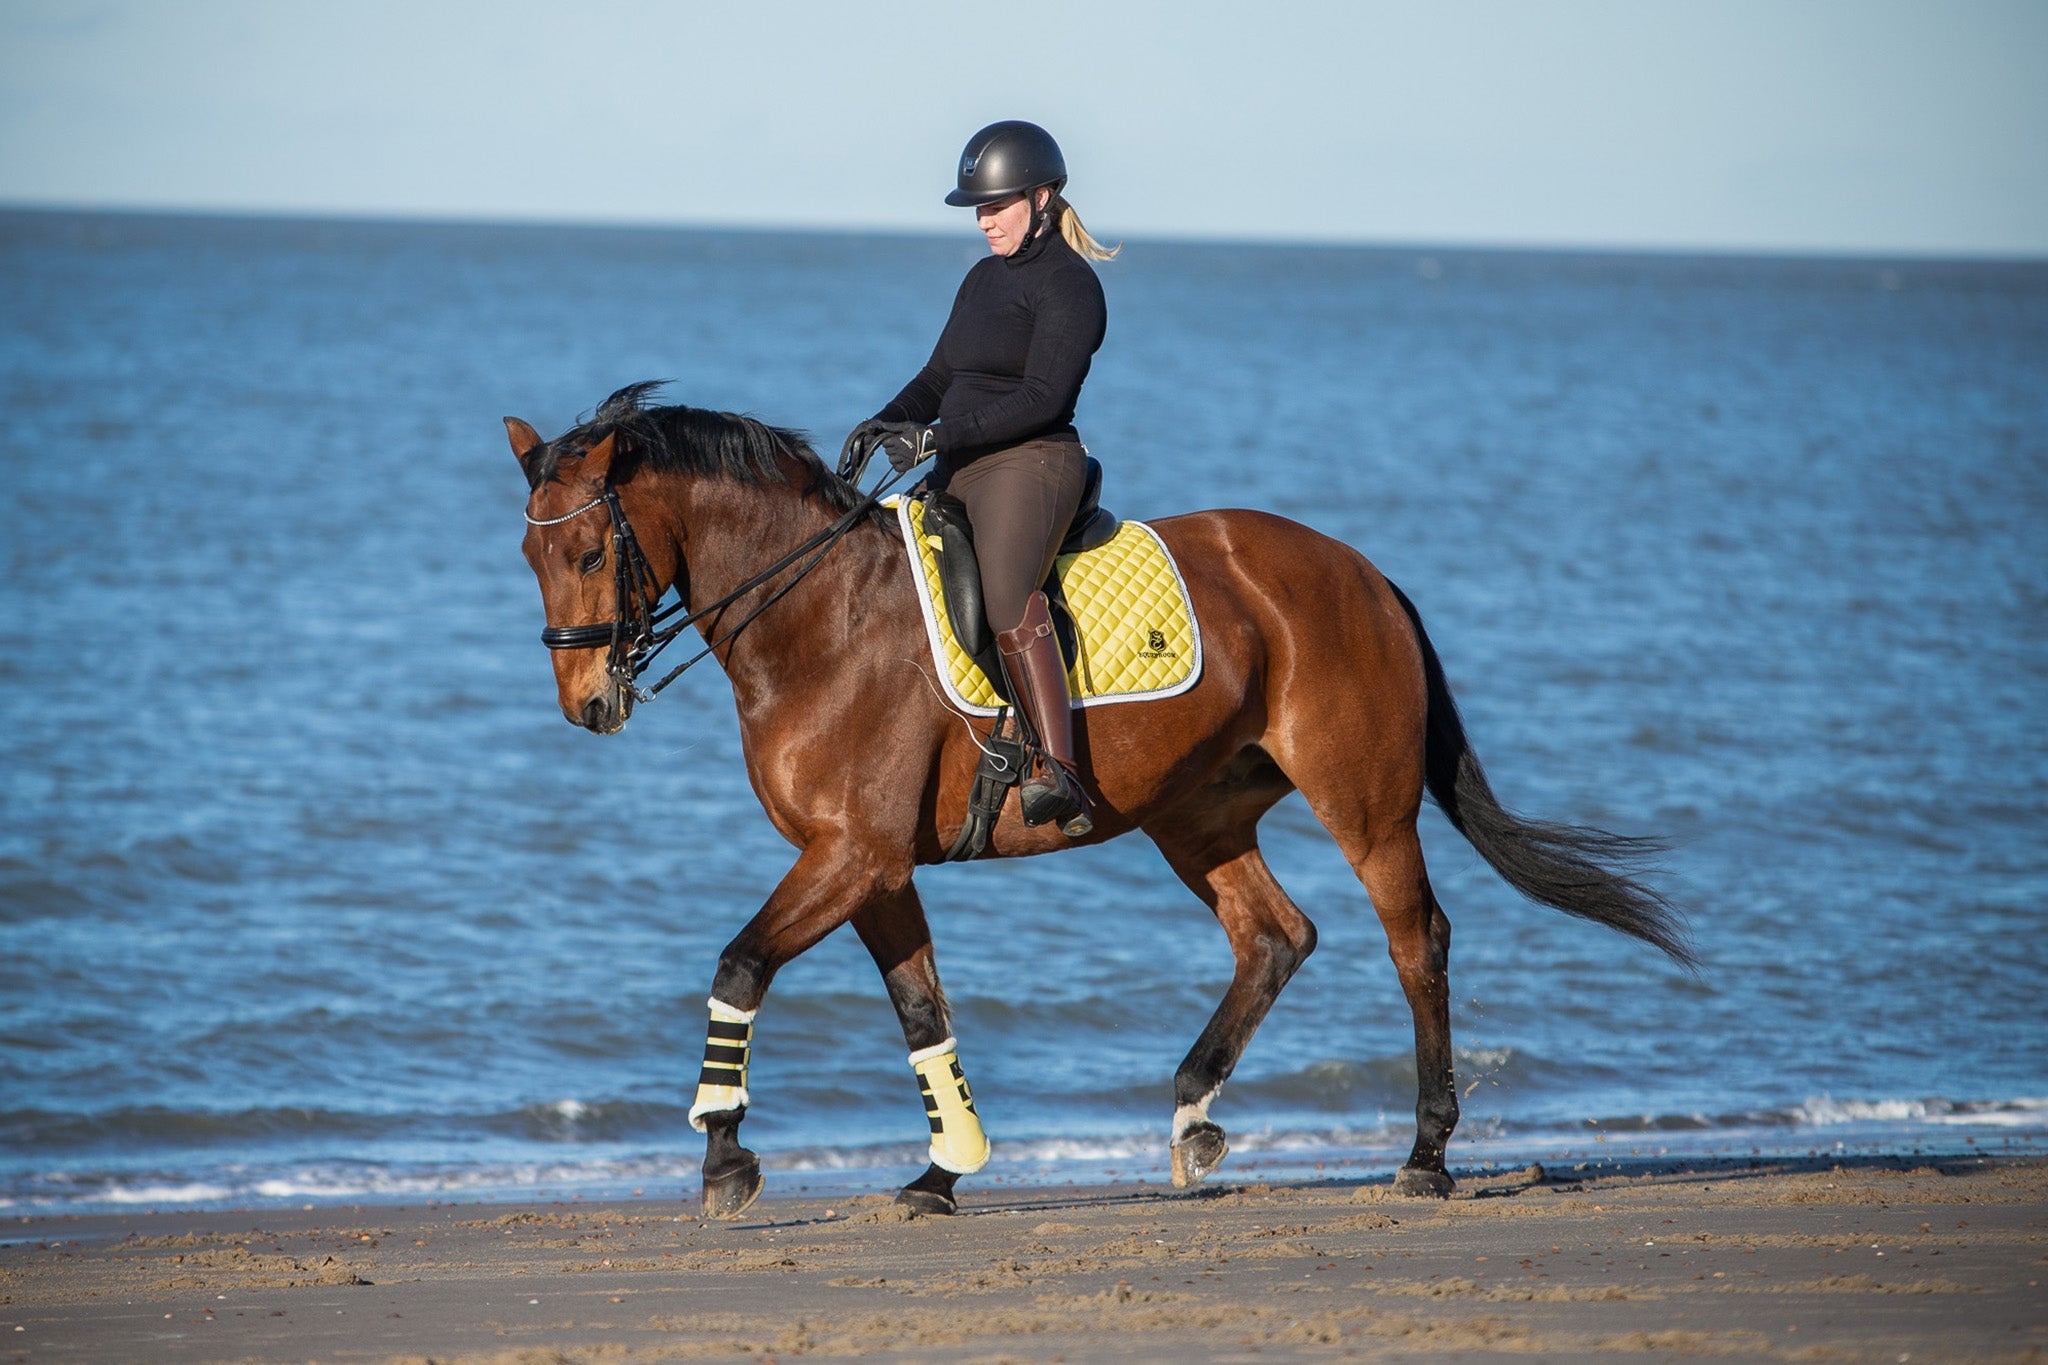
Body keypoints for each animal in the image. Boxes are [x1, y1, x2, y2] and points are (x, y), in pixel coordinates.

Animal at [507, 382, 1692, 1220]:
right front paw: (944, 1170)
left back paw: (1425, 1155)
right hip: (1195, 813)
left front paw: (723, 1152)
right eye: (527, 551)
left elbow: (740, 964)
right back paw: (1193, 1116)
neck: (817, 620)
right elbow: (921, 1009)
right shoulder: (873, 869)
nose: (587, 704)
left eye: (585, 550)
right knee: (1275, 935)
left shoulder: (850, 858)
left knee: (1417, 941)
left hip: (1362, 803)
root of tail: (1361, 571)